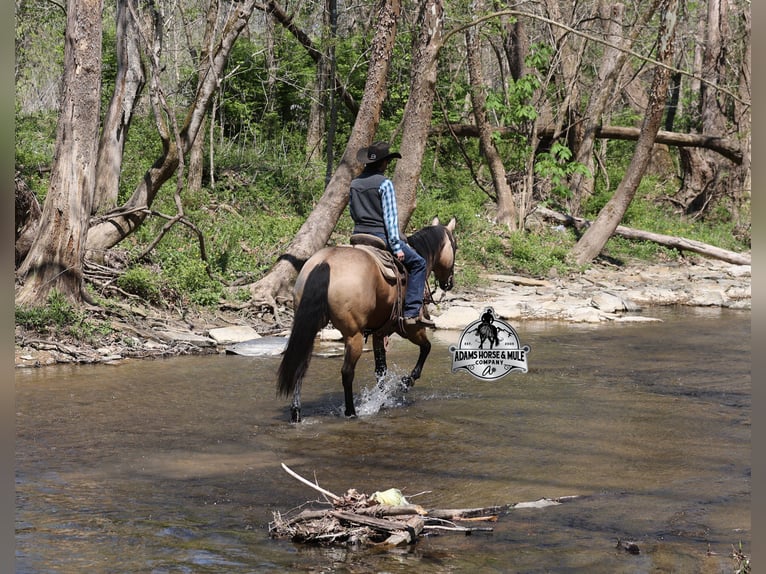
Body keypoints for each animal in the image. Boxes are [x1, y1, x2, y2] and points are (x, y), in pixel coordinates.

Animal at [276, 216, 457, 422]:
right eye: (455, 246)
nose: (449, 283)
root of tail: (324, 262)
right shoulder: (411, 328)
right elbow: (426, 348)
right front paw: (405, 382)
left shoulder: (379, 333)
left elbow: (381, 370)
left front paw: (382, 400)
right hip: (353, 335)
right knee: (347, 372)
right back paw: (351, 412)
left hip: (309, 328)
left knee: (300, 366)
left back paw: (296, 413)